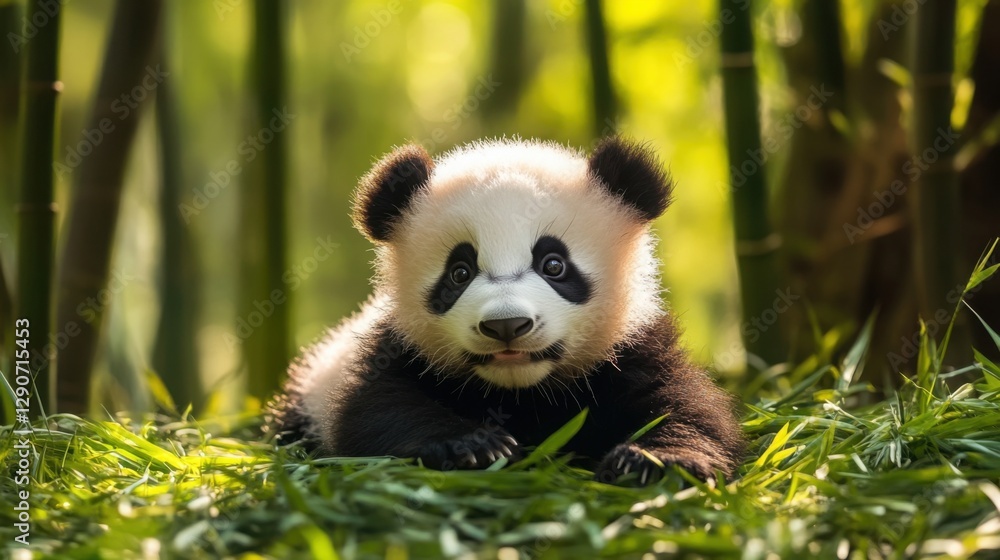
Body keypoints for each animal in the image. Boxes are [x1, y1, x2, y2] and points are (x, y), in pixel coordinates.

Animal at [272, 137, 745, 484]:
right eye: (459, 272)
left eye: (553, 264)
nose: (506, 325)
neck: (521, 390)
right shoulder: (395, 349)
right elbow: (374, 412)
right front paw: (475, 447)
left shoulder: (633, 348)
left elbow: (687, 410)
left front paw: (652, 460)